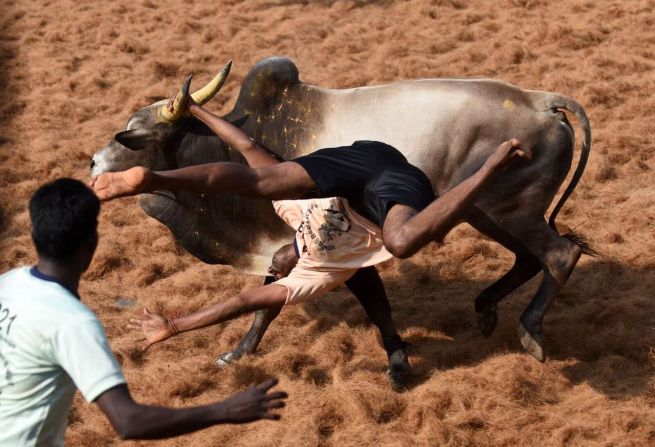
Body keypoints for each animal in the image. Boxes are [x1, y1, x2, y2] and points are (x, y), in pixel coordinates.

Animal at [91, 57, 596, 364]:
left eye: (131, 134)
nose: (94, 162)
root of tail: (542, 101)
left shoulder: (314, 245)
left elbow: (302, 295)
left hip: (508, 211)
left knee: (559, 255)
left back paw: (529, 330)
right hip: (492, 214)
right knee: (531, 259)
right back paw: (487, 309)